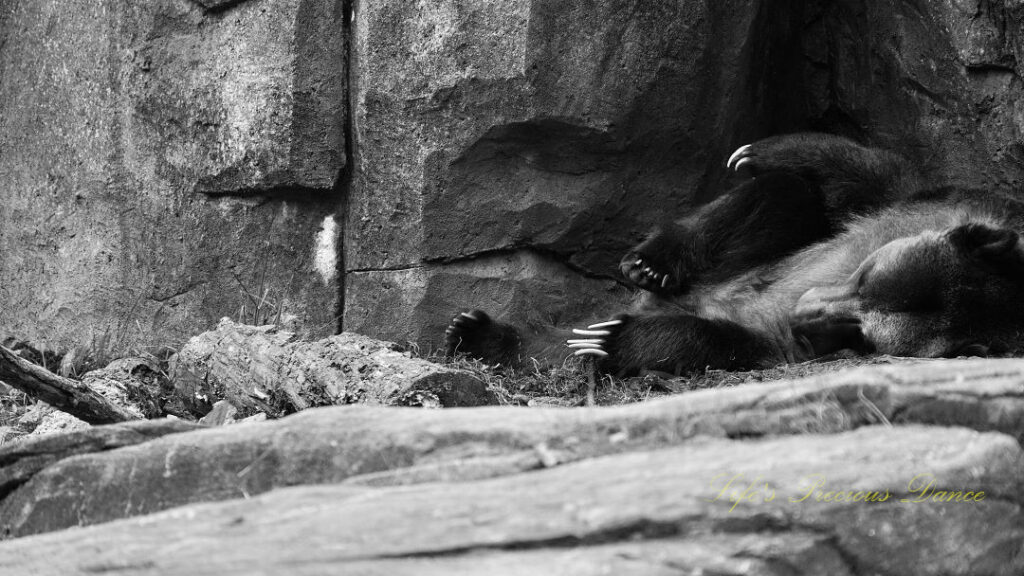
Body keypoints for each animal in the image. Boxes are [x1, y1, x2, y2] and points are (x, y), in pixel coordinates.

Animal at [444, 134, 1024, 377]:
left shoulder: (788, 346)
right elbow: (866, 174)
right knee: (781, 196)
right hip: (743, 257)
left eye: (862, 334)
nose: (804, 311)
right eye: (865, 273)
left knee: (695, 335)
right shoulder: (934, 203)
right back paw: (652, 262)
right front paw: (757, 151)